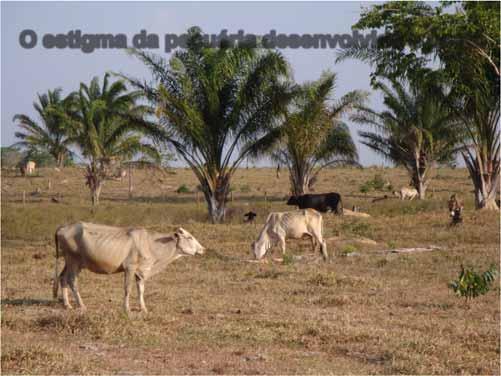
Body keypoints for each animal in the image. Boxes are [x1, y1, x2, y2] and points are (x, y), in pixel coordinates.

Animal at [53, 222, 204, 312]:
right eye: (189, 237)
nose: (203, 249)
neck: (151, 243)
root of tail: (64, 227)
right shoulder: (130, 268)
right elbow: (128, 289)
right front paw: (127, 308)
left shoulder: (140, 272)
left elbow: (141, 290)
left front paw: (143, 308)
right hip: (74, 261)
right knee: (72, 281)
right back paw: (81, 305)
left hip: (70, 262)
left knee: (62, 278)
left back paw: (67, 304)